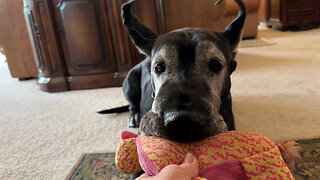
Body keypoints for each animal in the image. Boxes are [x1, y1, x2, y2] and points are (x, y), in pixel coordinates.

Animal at [99, 0, 246, 143]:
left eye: (216, 65)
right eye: (159, 67)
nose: (182, 122)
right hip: (130, 80)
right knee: (132, 104)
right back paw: (134, 115)